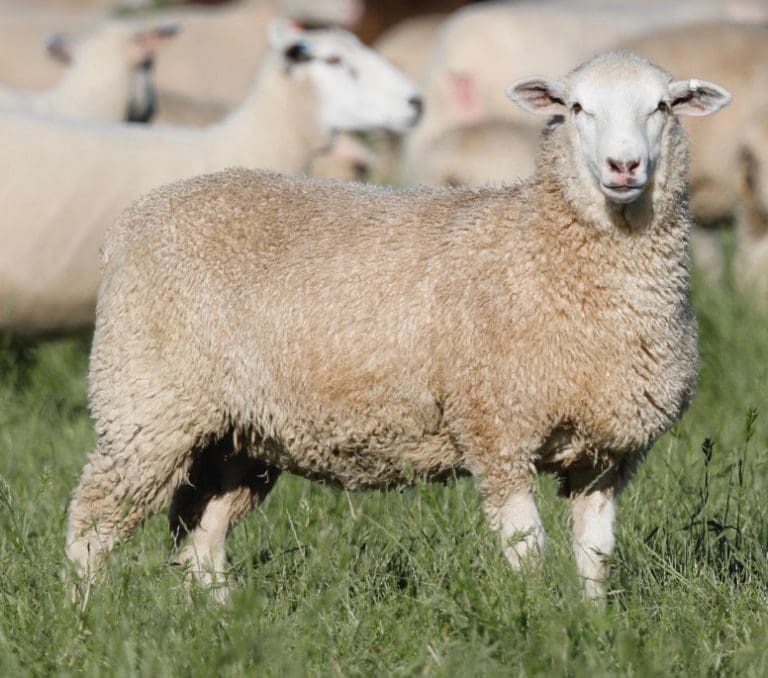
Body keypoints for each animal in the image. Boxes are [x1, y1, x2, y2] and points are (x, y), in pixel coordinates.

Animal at [66, 50, 732, 600]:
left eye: (663, 106)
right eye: (575, 108)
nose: (625, 166)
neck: (542, 244)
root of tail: (129, 224)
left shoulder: (607, 452)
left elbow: (595, 556)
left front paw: (592, 622)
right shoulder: (496, 426)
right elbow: (528, 551)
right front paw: (538, 620)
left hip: (237, 433)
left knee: (199, 538)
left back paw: (219, 619)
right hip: (146, 404)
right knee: (91, 524)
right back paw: (86, 615)